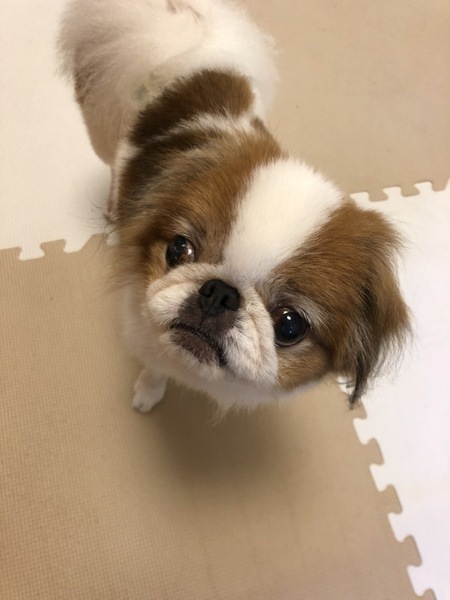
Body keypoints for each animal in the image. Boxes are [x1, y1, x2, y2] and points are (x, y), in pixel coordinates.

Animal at [58, 0, 410, 412]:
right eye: (179, 249)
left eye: (290, 325)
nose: (219, 293)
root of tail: (200, 60)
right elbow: (154, 367)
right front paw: (148, 392)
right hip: (108, 133)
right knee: (115, 164)